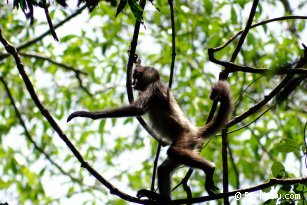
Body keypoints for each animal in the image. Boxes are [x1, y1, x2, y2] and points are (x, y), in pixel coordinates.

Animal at [67, 58, 231, 202]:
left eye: (137, 77)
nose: (133, 83)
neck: (157, 82)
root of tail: (194, 130)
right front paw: (136, 59)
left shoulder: (154, 88)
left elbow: (137, 109)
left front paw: (88, 114)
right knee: (163, 169)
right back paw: (164, 199)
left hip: (186, 138)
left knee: (174, 151)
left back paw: (209, 169)